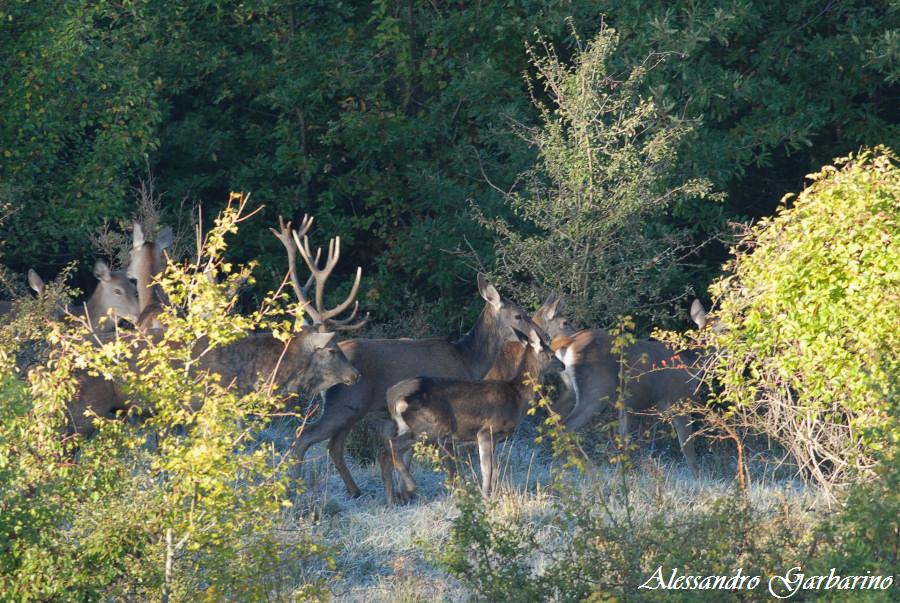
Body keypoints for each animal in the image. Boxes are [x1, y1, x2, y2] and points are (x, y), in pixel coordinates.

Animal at [380, 326, 564, 504]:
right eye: (551, 355)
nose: (563, 365)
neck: (516, 396)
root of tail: (394, 397)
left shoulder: (494, 437)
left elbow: (494, 469)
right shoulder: (486, 430)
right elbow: (486, 469)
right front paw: (485, 496)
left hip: (410, 427)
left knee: (387, 452)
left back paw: (391, 500)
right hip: (430, 428)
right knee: (391, 445)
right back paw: (410, 486)